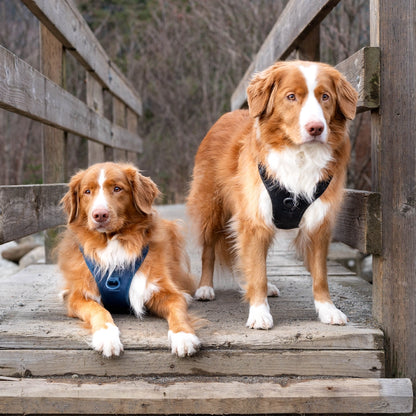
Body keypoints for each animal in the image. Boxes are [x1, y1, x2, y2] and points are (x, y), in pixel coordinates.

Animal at [57, 162, 201, 358]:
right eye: (87, 191)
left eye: (117, 189)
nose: (99, 215)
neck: (112, 242)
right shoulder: (80, 296)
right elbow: (98, 311)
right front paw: (106, 336)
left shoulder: (167, 292)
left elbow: (179, 312)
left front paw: (183, 336)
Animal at [187, 60, 360, 330]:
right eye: (291, 97)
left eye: (325, 97)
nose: (316, 128)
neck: (299, 154)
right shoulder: (254, 221)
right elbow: (256, 271)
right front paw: (259, 312)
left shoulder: (318, 223)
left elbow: (320, 275)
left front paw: (327, 309)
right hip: (211, 207)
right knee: (209, 249)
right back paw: (205, 287)